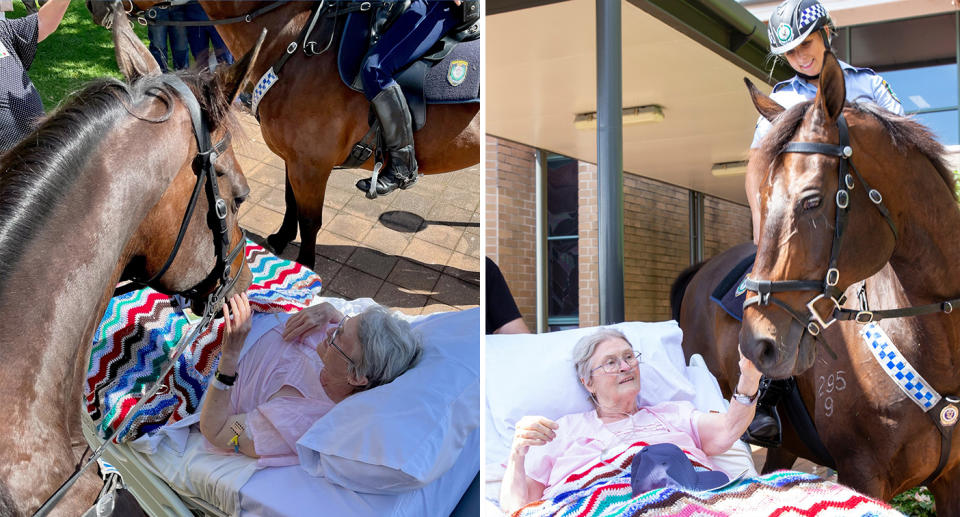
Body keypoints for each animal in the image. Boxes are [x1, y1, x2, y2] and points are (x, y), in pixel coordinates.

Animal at [89, 0, 480, 266]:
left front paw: (306, 267)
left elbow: (310, 221)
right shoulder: (296, 159)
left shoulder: (312, 164)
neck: (297, 43)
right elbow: (291, 202)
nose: (94, 6)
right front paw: (279, 240)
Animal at [676, 51, 960, 508]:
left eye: (811, 200)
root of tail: (702, 270)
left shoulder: (953, 478)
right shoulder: (862, 473)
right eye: (759, 199)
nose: (755, 345)